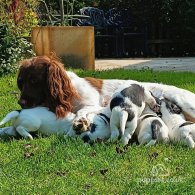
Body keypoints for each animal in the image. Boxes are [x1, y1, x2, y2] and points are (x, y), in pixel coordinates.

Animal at [16, 53, 195, 131]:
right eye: (21, 82)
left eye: (34, 81)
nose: (20, 103)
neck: (69, 94)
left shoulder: (94, 104)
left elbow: (80, 111)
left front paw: (80, 121)